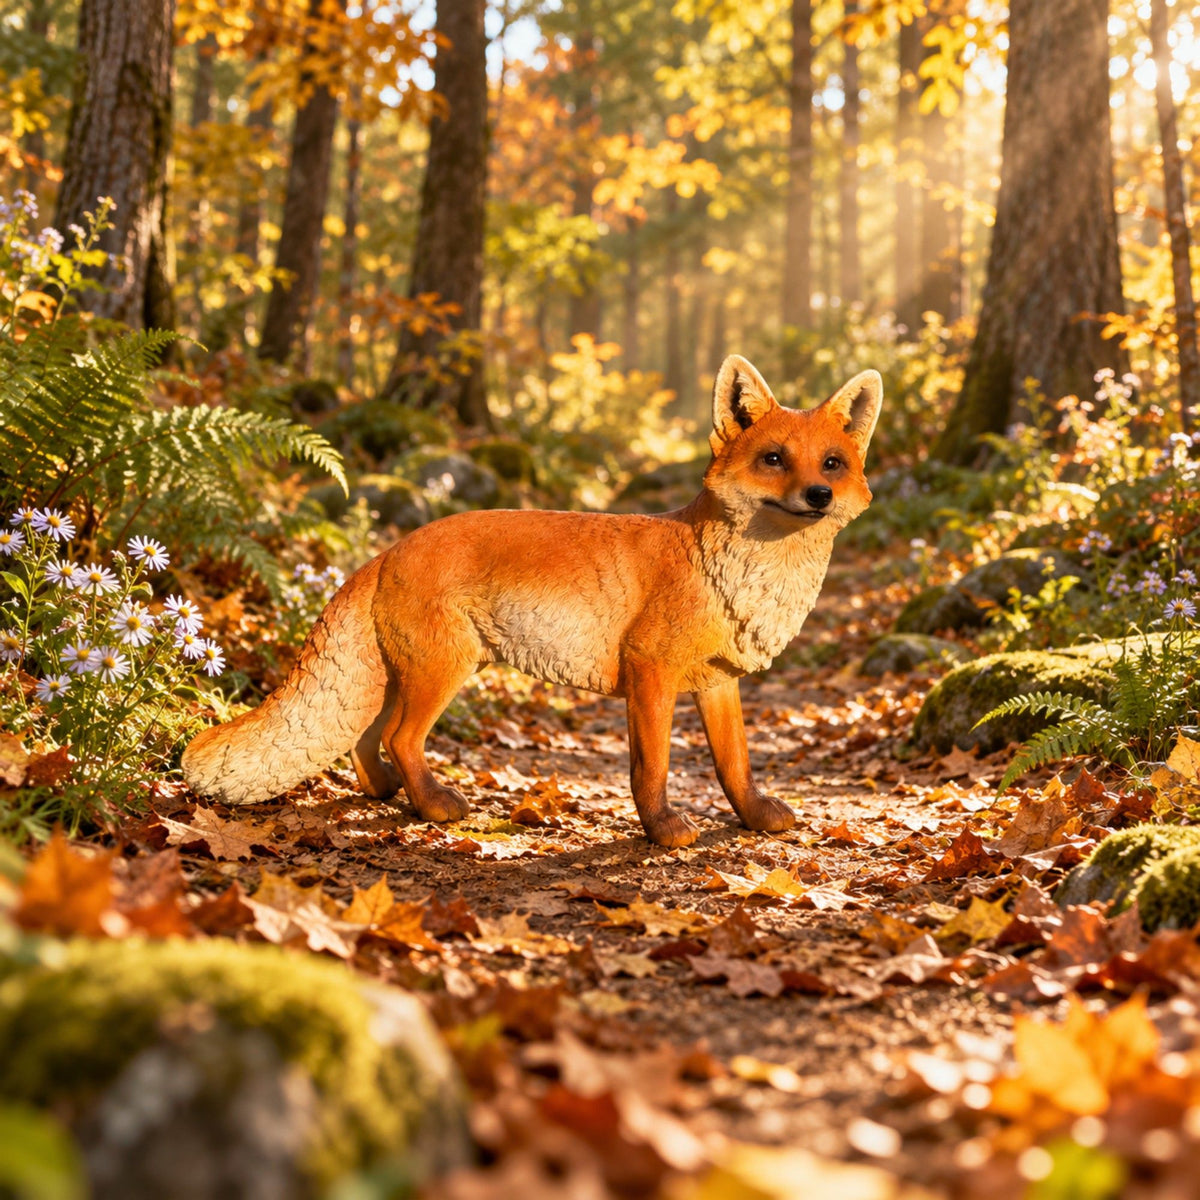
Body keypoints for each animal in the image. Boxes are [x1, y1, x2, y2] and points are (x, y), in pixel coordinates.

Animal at [182, 355, 881, 847]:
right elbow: (651, 768)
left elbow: (736, 765)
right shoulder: (649, 672)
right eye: (774, 459)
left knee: (365, 740)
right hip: (443, 670)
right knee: (403, 739)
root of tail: (389, 549)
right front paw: (662, 832)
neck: (733, 574)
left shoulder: (716, 682)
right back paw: (432, 806)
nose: (819, 495)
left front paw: (755, 817)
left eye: (832, 463)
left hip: (403, 675)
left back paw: (386, 794)